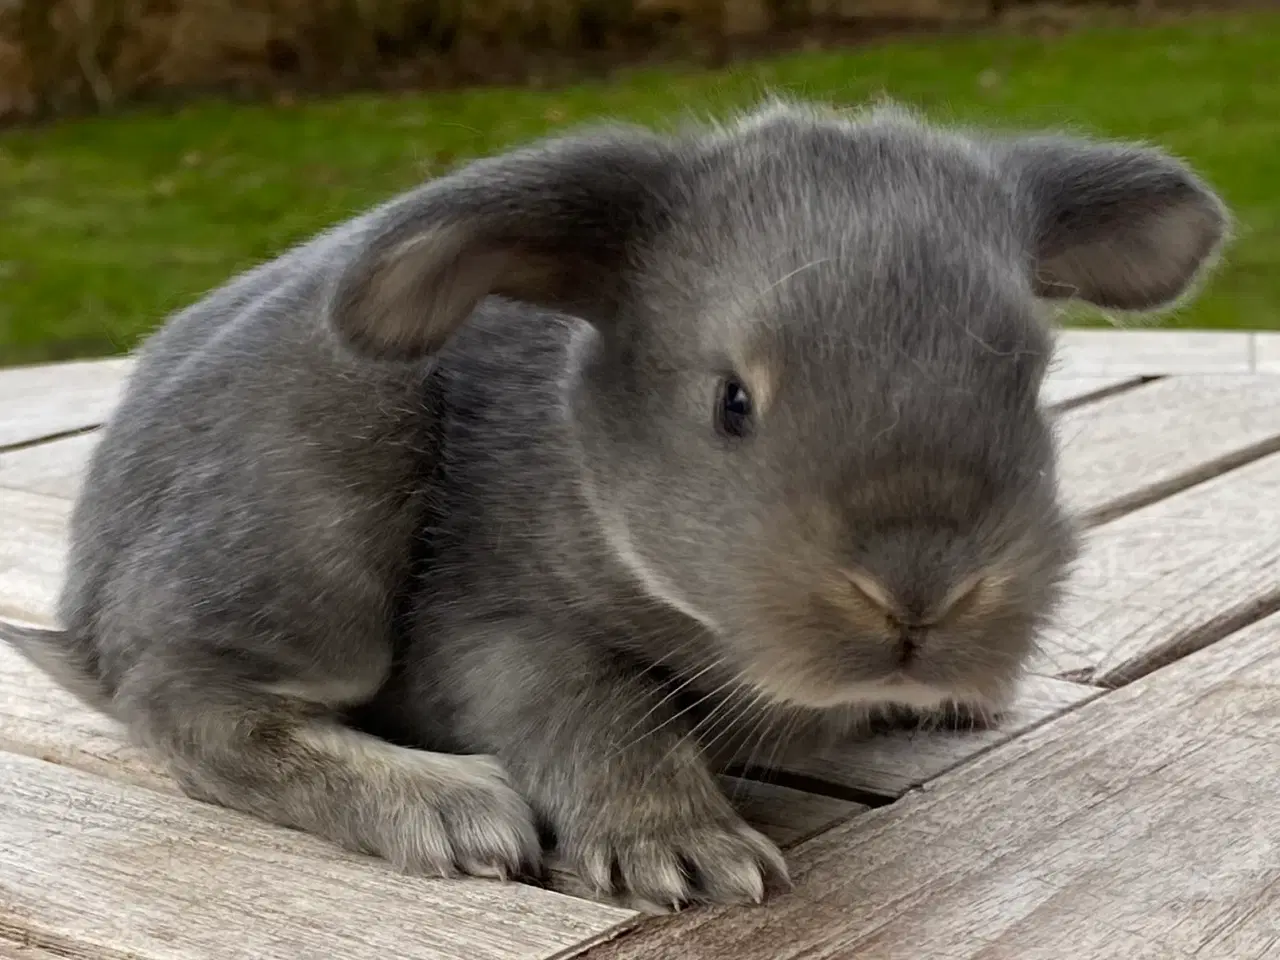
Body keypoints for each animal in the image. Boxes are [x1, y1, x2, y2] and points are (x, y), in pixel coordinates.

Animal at [2, 99, 1228, 916]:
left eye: (1031, 385)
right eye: (732, 402)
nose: (917, 592)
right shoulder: (492, 634)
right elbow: (598, 710)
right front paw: (682, 852)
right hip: (317, 504)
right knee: (195, 708)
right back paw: (447, 809)